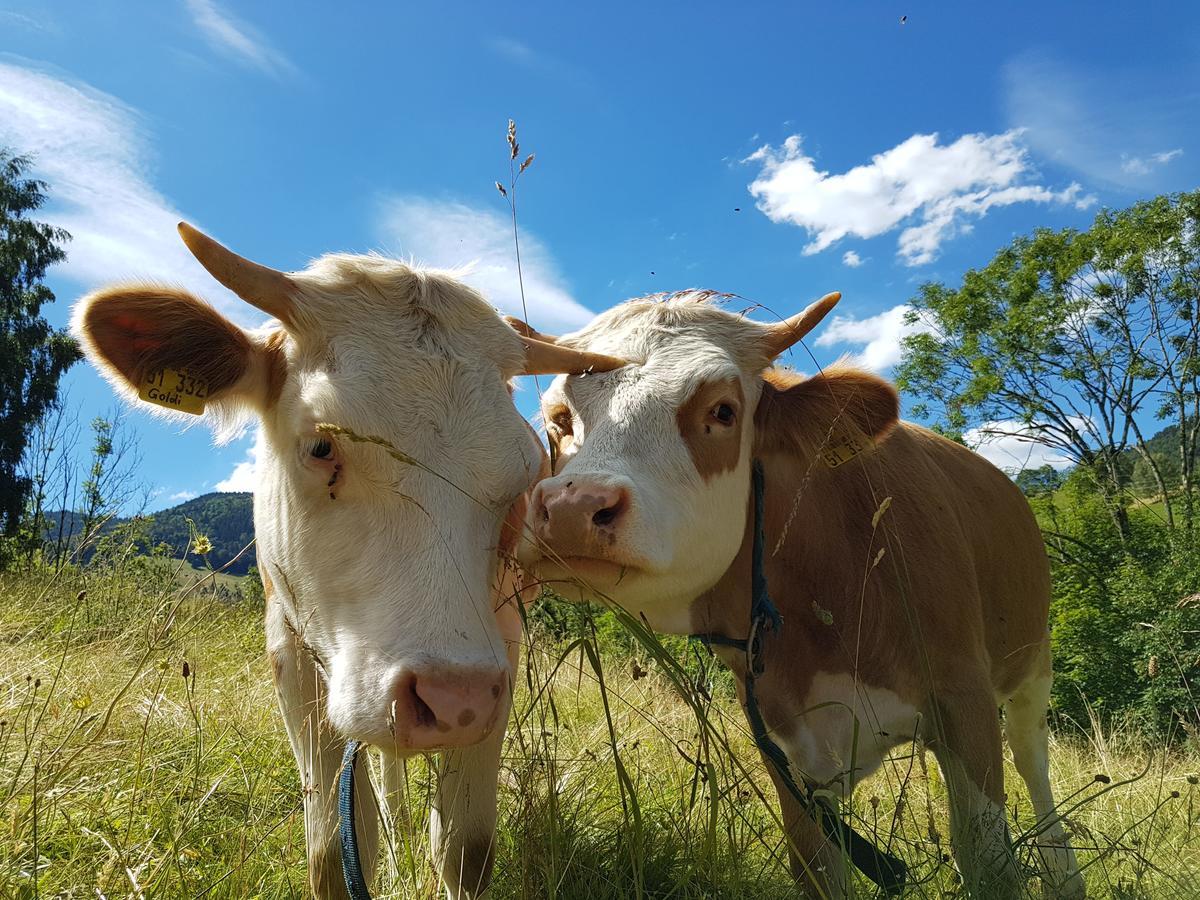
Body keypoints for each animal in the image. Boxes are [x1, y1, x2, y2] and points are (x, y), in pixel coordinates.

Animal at [72, 222, 628, 897]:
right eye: (320, 446)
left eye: (522, 475)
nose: (451, 698)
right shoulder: (288, 643)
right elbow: (334, 852)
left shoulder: (500, 647)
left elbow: (464, 850)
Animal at [516, 296, 1089, 900]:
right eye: (559, 419)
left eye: (723, 411)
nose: (574, 507)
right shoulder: (790, 752)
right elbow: (819, 871)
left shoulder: (964, 697)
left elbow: (988, 857)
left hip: (1033, 662)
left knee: (1031, 759)